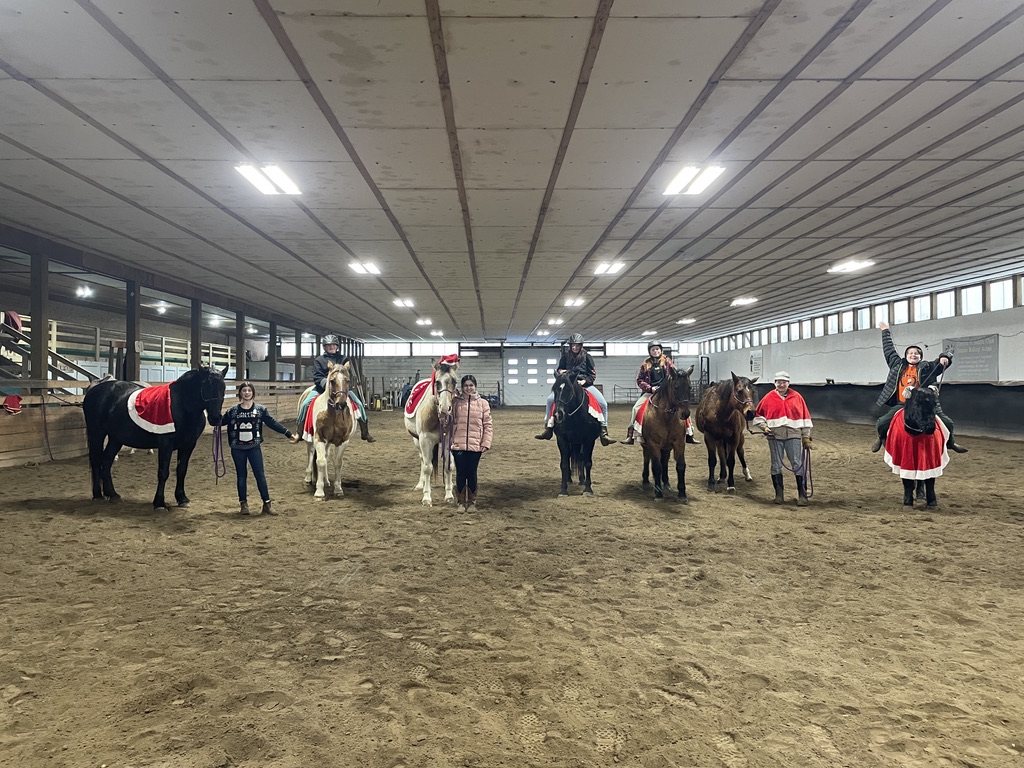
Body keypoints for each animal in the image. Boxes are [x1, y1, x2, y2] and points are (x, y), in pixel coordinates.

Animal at [83, 365, 227, 511]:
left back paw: (112, 495)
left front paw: (182, 498)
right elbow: (163, 472)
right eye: (205, 385)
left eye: (223, 387)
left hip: (116, 438)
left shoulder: (189, 445)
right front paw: (159, 503)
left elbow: (181, 470)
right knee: (96, 460)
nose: (216, 418)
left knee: (106, 461)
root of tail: (95, 389)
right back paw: (98, 495)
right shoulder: (166, 444)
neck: (182, 406)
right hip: (97, 433)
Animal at [296, 362, 358, 500]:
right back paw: (308, 479)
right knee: (311, 454)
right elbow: (320, 461)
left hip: (329, 443)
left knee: (325, 455)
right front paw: (319, 492)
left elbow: (337, 463)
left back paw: (325, 480)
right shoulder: (319, 438)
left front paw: (338, 489)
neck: (334, 414)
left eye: (347, 380)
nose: (341, 404)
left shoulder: (343, 441)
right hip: (310, 439)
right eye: (332, 381)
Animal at [404, 356, 460, 506]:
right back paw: (420, 484)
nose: (445, 408)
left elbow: (448, 466)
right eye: (437, 382)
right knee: (423, 460)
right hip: (417, 441)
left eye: (454, 381)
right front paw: (427, 498)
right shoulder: (425, 440)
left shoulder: (448, 439)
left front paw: (449, 495)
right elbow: (427, 468)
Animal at [638, 365, 694, 502]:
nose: (685, 414)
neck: (666, 417)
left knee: (664, 461)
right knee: (647, 458)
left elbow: (680, 466)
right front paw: (658, 494)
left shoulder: (679, 443)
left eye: (690, 387)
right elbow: (656, 467)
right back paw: (646, 481)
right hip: (646, 445)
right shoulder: (653, 444)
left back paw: (666, 483)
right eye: (676, 387)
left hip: (666, 447)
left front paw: (682, 494)